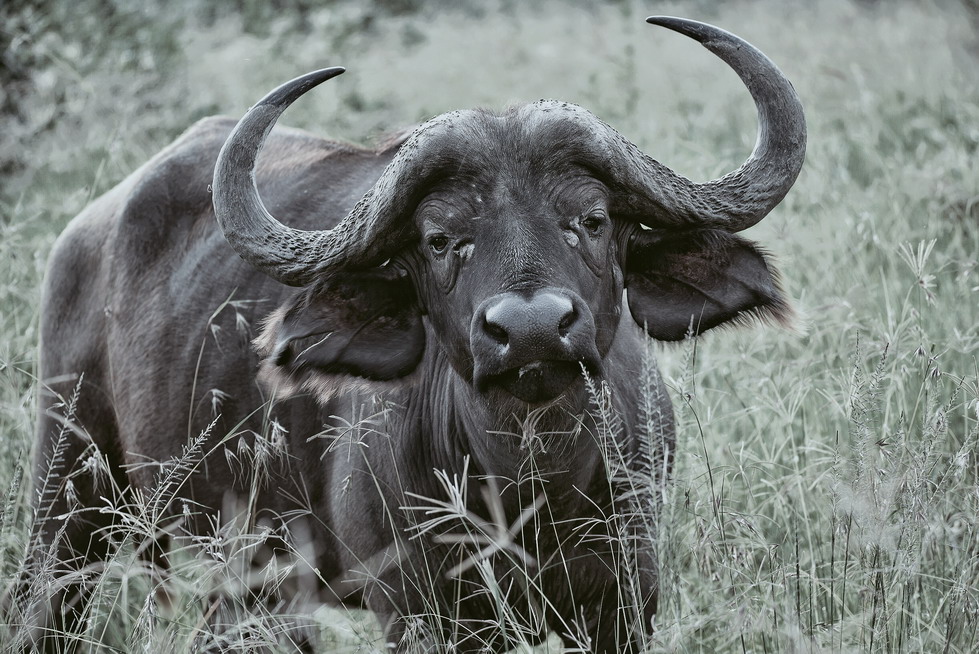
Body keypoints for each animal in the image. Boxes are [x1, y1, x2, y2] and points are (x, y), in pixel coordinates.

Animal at [26, 15, 804, 654]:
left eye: (591, 219)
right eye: (439, 239)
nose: (529, 330)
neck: (531, 484)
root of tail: (84, 236)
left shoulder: (626, 597)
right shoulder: (417, 609)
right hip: (67, 503)